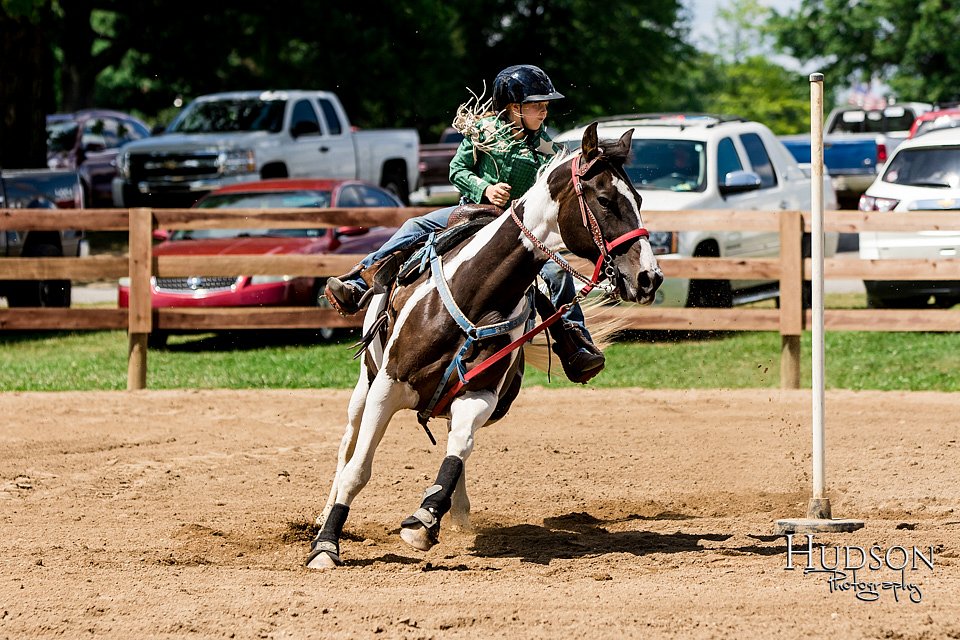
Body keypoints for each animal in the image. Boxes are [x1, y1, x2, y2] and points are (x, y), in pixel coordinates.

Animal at [306, 121, 660, 568]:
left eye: (639, 199)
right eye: (604, 200)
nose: (649, 278)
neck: (476, 293)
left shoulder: (480, 393)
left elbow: (459, 448)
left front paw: (426, 518)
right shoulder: (387, 386)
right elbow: (359, 469)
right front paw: (326, 545)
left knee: (453, 439)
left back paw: (454, 513)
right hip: (364, 384)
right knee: (347, 447)